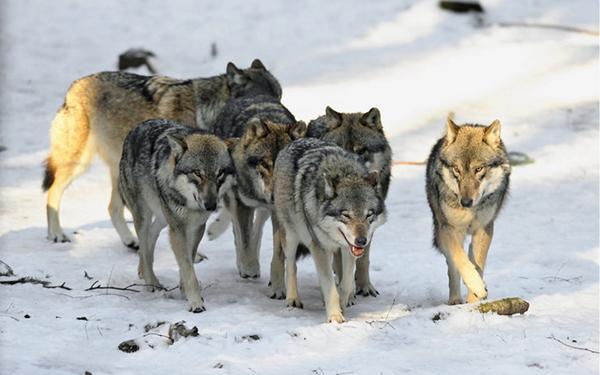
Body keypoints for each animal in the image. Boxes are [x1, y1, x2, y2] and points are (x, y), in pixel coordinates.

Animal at [42, 58, 282, 248]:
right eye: (263, 96)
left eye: (279, 95)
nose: (277, 119)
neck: (205, 113)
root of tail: (73, 86)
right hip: (78, 163)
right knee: (53, 192)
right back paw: (56, 234)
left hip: (118, 171)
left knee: (112, 208)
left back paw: (131, 241)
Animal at [118, 119, 234, 312]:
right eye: (197, 173)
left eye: (220, 174)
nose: (211, 206)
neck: (190, 205)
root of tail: (135, 128)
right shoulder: (178, 228)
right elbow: (187, 267)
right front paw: (195, 302)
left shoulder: (196, 228)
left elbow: (188, 261)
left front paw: (184, 291)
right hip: (145, 216)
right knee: (144, 242)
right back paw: (152, 283)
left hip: (163, 219)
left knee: (149, 240)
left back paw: (143, 271)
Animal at [270, 138, 384, 324]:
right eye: (346, 215)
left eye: (369, 215)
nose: (362, 241)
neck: (344, 170)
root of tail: (294, 141)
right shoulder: (320, 248)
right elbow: (330, 286)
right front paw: (335, 316)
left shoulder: (347, 249)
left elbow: (345, 283)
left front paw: (343, 303)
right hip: (291, 235)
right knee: (291, 265)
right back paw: (293, 299)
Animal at [304, 107, 394, 298]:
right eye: (339, 148)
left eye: (361, 151)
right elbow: (340, 256)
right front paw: (345, 290)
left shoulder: (369, 223)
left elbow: (363, 259)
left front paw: (364, 286)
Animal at [426, 117, 510, 306]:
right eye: (457, 169)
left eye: (478, 169)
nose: (465, 202)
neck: (472, 210)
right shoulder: (450, 229)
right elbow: (461, 261)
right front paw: (476, 286)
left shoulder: (485, 228)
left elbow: (478, 263)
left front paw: (475, 300)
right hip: (441, 232)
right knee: (453, 268)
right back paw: (455, 300)